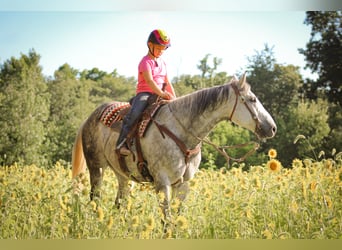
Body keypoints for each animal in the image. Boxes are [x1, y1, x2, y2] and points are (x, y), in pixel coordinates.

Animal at [71, 73, 276, 221]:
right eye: (252, 99)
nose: (272, 128)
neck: (181, 131)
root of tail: (89, 118)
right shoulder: (163, 183)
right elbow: (167, 220)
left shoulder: (183, 184)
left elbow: (177, 218)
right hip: (96, 168)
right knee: (95, 199)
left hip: (123, 176)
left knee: (119, 203)